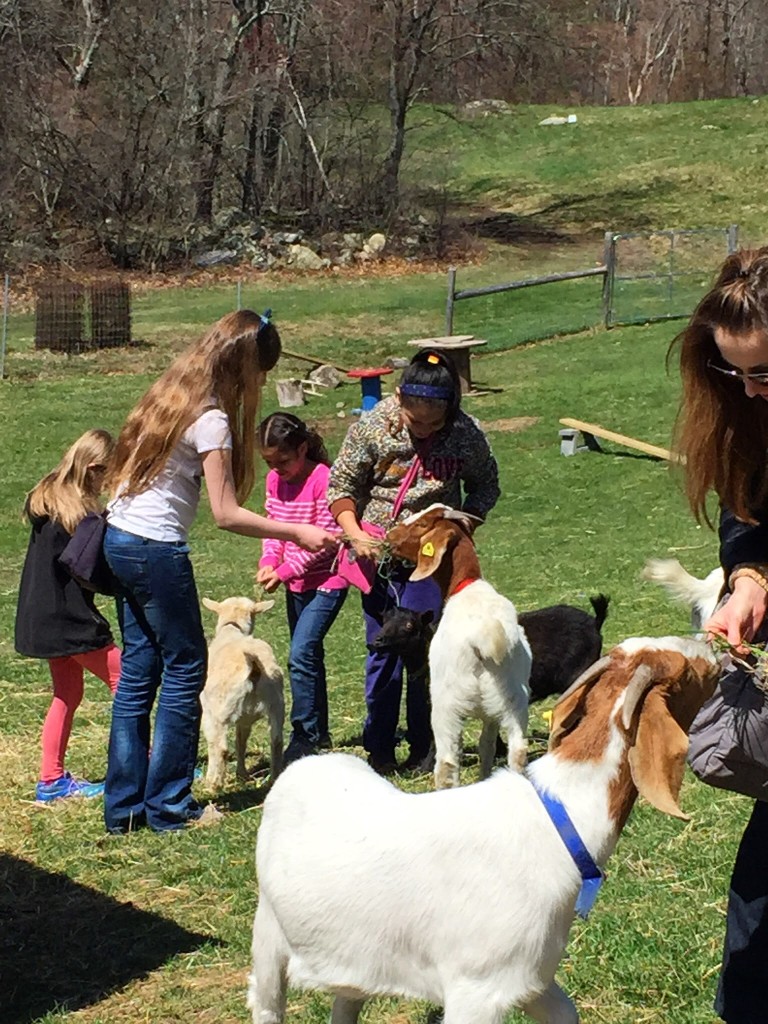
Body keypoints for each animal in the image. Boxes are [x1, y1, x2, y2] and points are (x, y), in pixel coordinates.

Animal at [387, 503, 532, 782]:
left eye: (422, 525)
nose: (390, 534)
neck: (465, 586)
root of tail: (486, 637)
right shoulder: (492, 714)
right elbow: (487, 748)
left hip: (447, 704)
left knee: (447, 762)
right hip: (514, 700)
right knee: (518, 752)